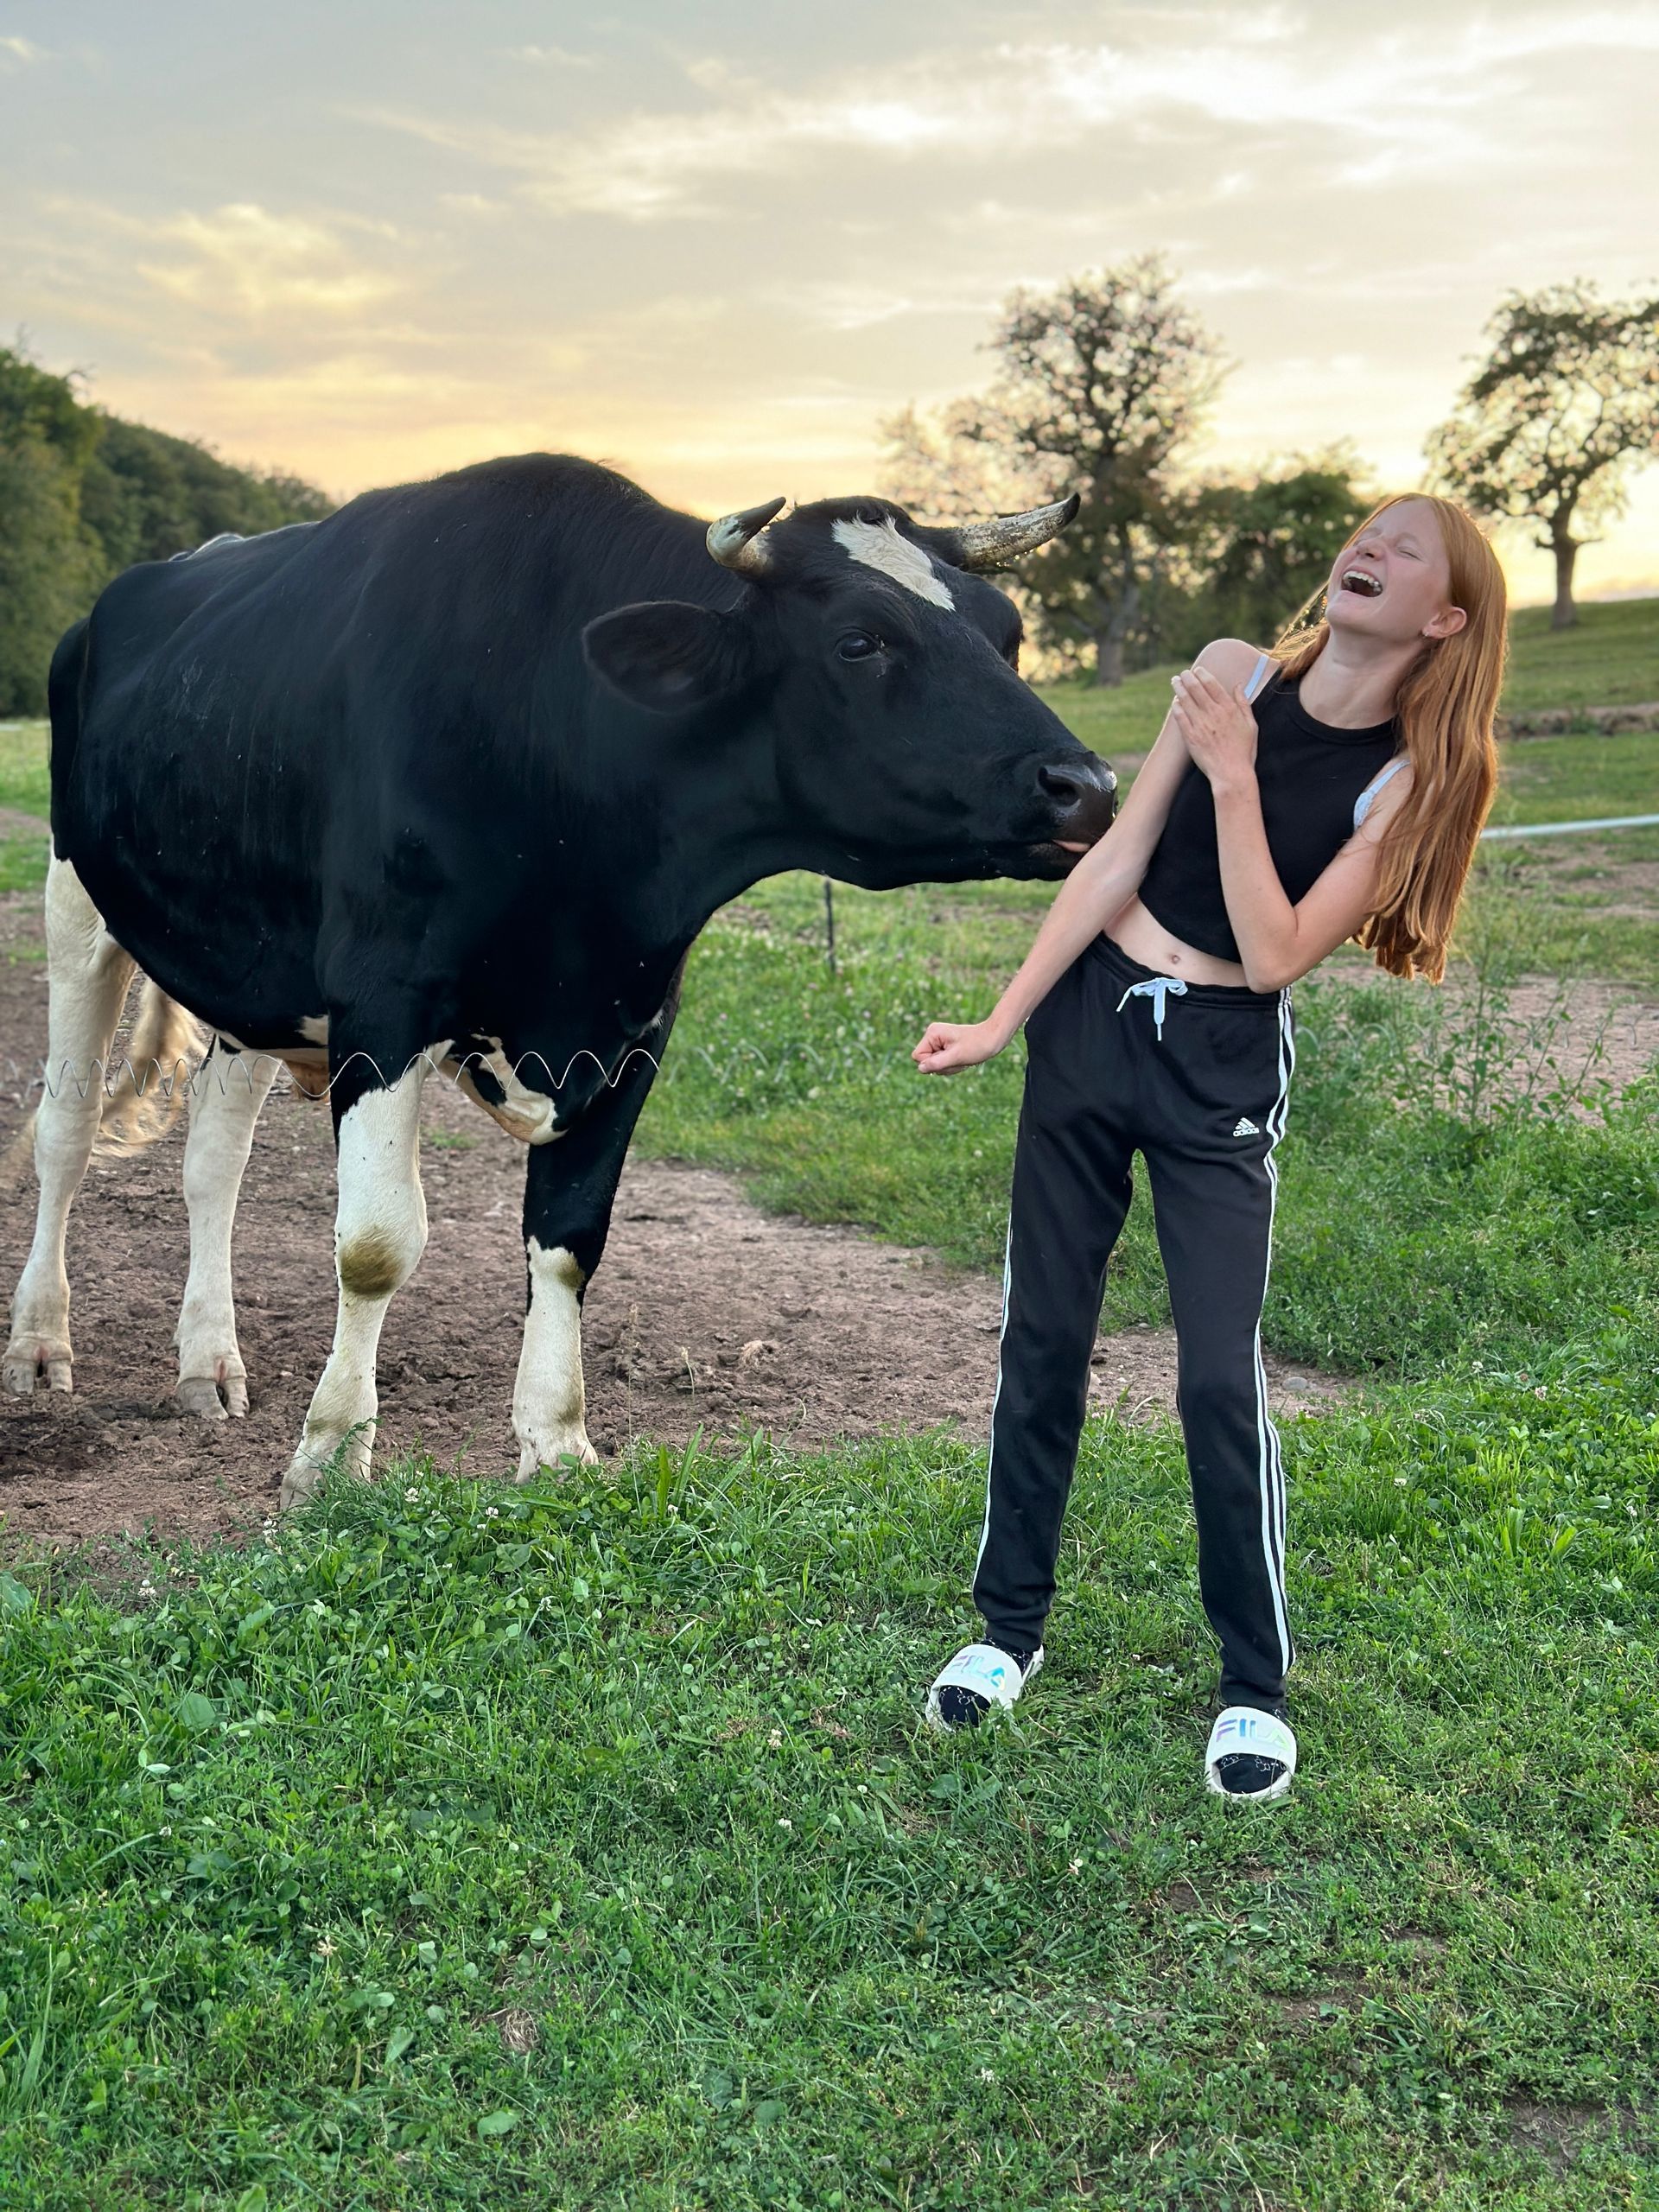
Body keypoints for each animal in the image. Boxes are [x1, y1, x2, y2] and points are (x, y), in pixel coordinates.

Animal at [4, 453, 1115, 1507]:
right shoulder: (385, 1001)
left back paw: (208, 1362)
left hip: (254, 971)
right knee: (66, 1131)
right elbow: (376, 1242)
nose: (1090, 786)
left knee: (213, 1159)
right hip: (76, 898)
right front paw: (330, 1454)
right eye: (859, 641)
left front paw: (556, 1439)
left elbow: (570, 1238)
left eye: (1008, 633)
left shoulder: (635, 1021)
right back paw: (41, 1342)